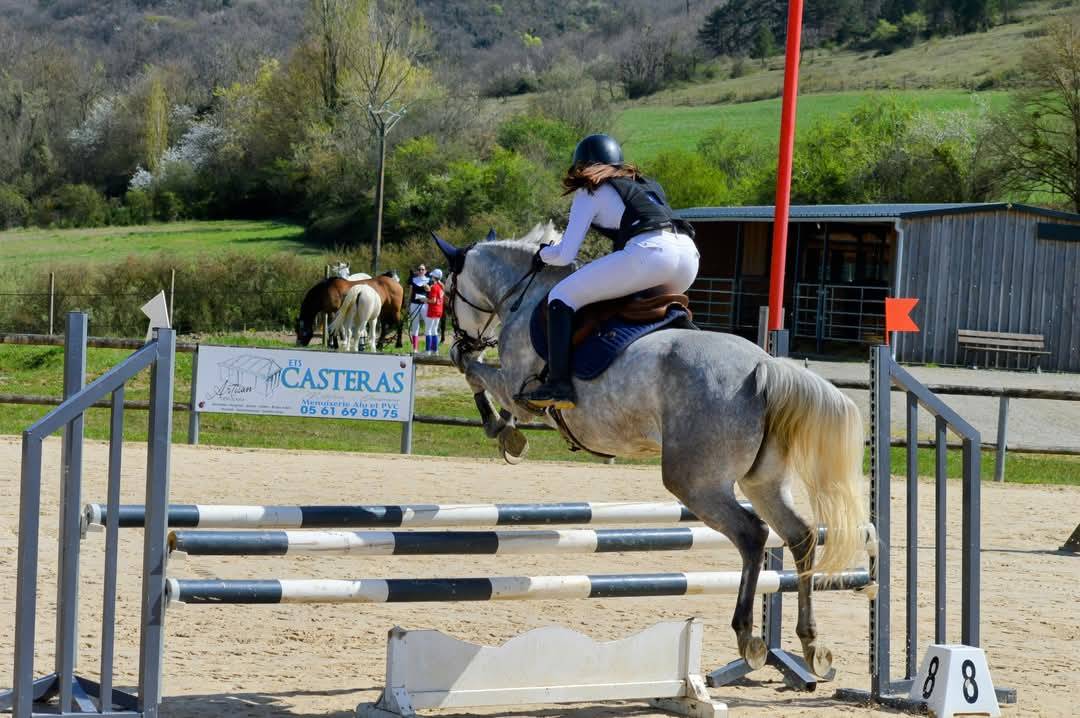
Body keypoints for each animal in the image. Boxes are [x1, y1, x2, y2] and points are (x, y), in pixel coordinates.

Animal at [433, 223, 867, 679]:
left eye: (449, 292)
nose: (468, 337)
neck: (526, 292)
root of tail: (764, 367)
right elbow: (471, 370)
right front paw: (506, 432)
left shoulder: (517, 388)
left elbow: (469, 370)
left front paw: (501, 430)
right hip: (763, 481)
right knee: (800, 536)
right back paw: (811, 644)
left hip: (694, 481)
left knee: (753, 534)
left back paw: (748, 636)